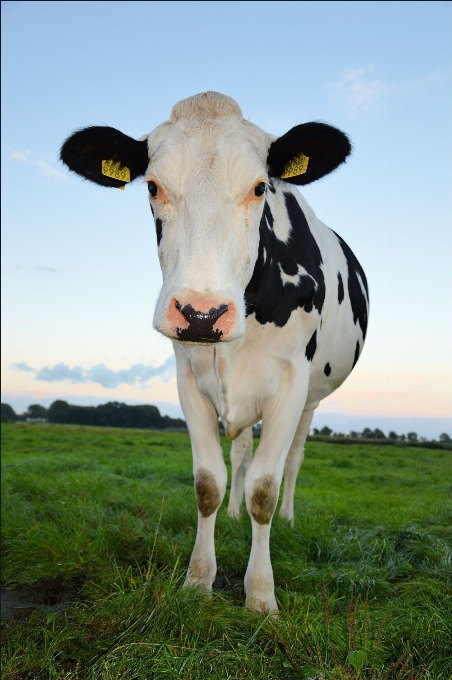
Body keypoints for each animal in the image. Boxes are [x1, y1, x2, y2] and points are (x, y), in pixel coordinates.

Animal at [60, 87, 370, 612]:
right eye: (152, 187)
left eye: (260, 187)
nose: (202, 313)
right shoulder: (188, 376)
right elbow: (209, 482)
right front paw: (198, 581)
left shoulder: (292, 382)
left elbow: (265, 489)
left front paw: (261, 596)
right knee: (242, 450)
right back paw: (232, 516)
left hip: (312, 399)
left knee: (292, 460)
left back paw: (289, 520)